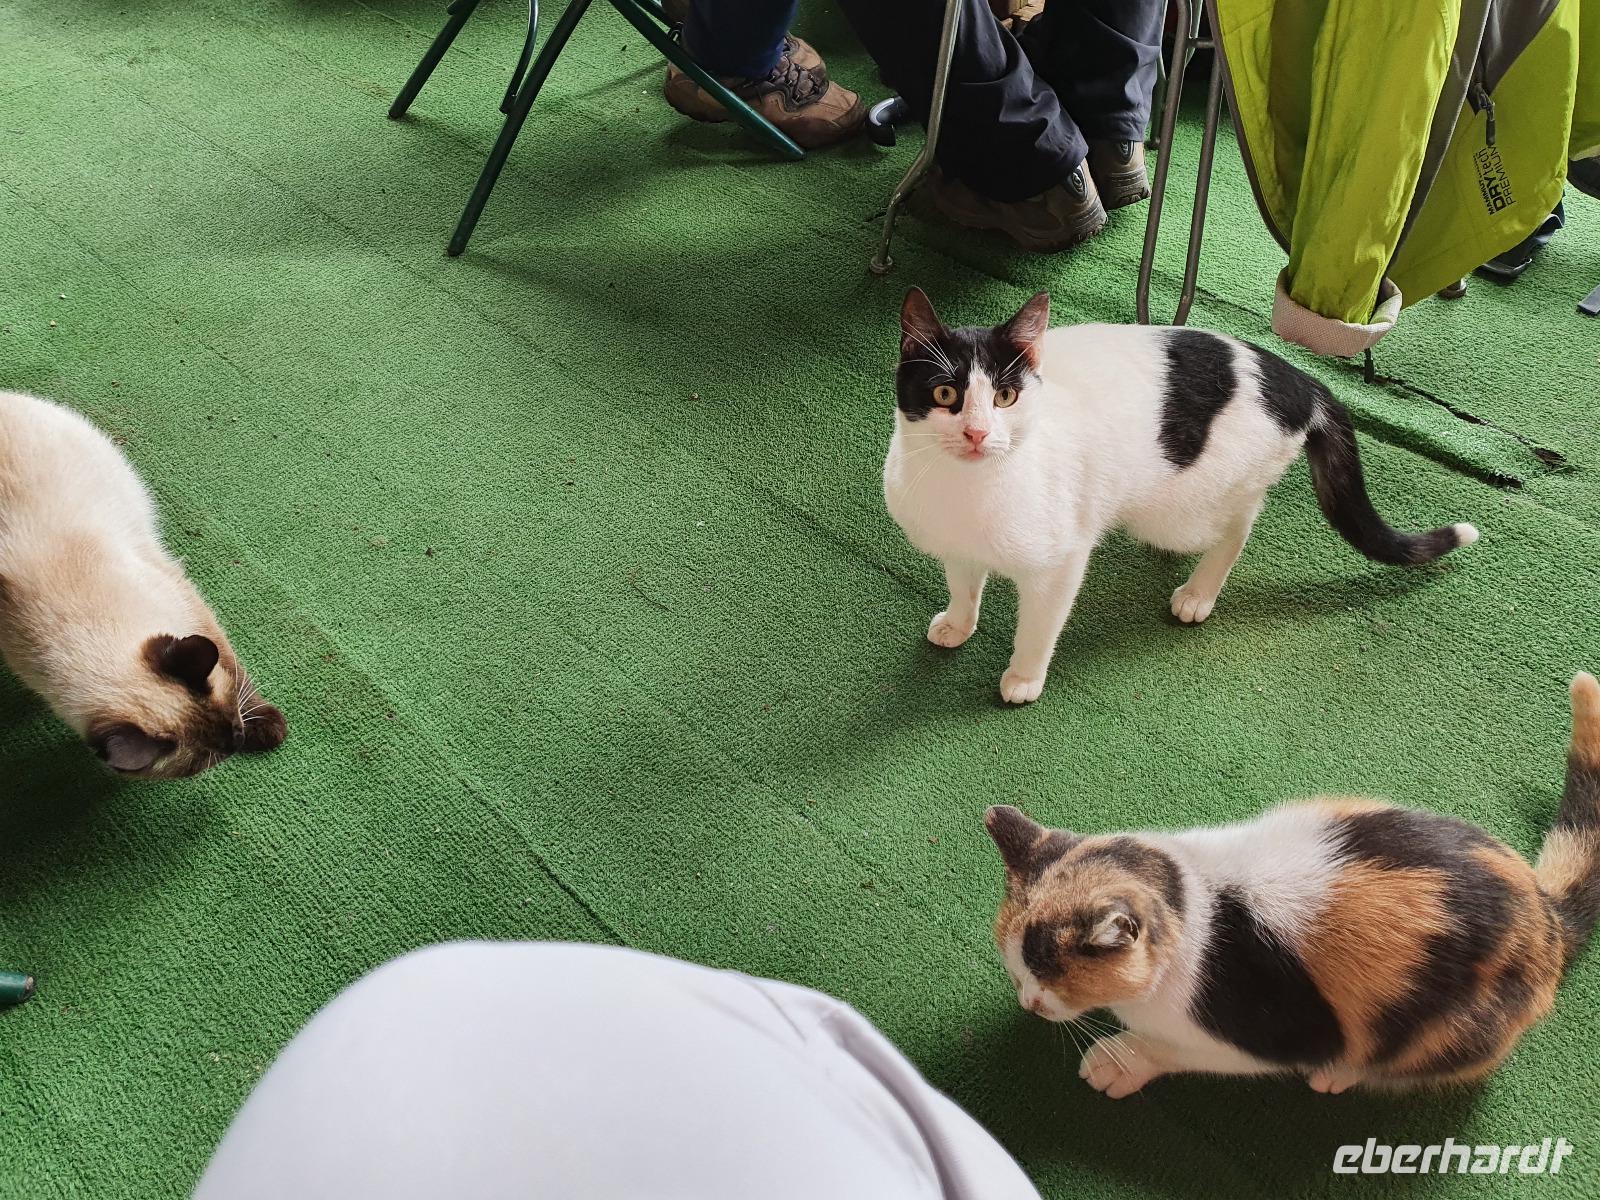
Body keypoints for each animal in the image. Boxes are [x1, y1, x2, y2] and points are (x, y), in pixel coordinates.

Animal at [0, 390, 287, 777]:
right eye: (202, 763)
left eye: (235, 722)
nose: (238, 741)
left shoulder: (183, 599)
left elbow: (232, 664)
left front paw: (269, 726)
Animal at [883, 288, 1478, 703]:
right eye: (945, 393)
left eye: (1005, 396)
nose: (977, 433)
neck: (967, 489)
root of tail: (1300, 379)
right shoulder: (957, 547)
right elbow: (964, 585)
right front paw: (959, 622)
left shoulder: (1062, 561)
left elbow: (1040, 624)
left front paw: (1024, 677)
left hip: (1184, 507)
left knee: (1239, 524)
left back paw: (1199, 591)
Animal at [982, 672, 1600, 1097]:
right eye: (1017, 969)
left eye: (1052, 976)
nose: (1029, 1002)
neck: (1192, 897)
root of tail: (1546, 915)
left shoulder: (1252, 1041)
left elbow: (1167, 1048)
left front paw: (1119, 1061)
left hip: (1449, 1031)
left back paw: (1339, 1074)